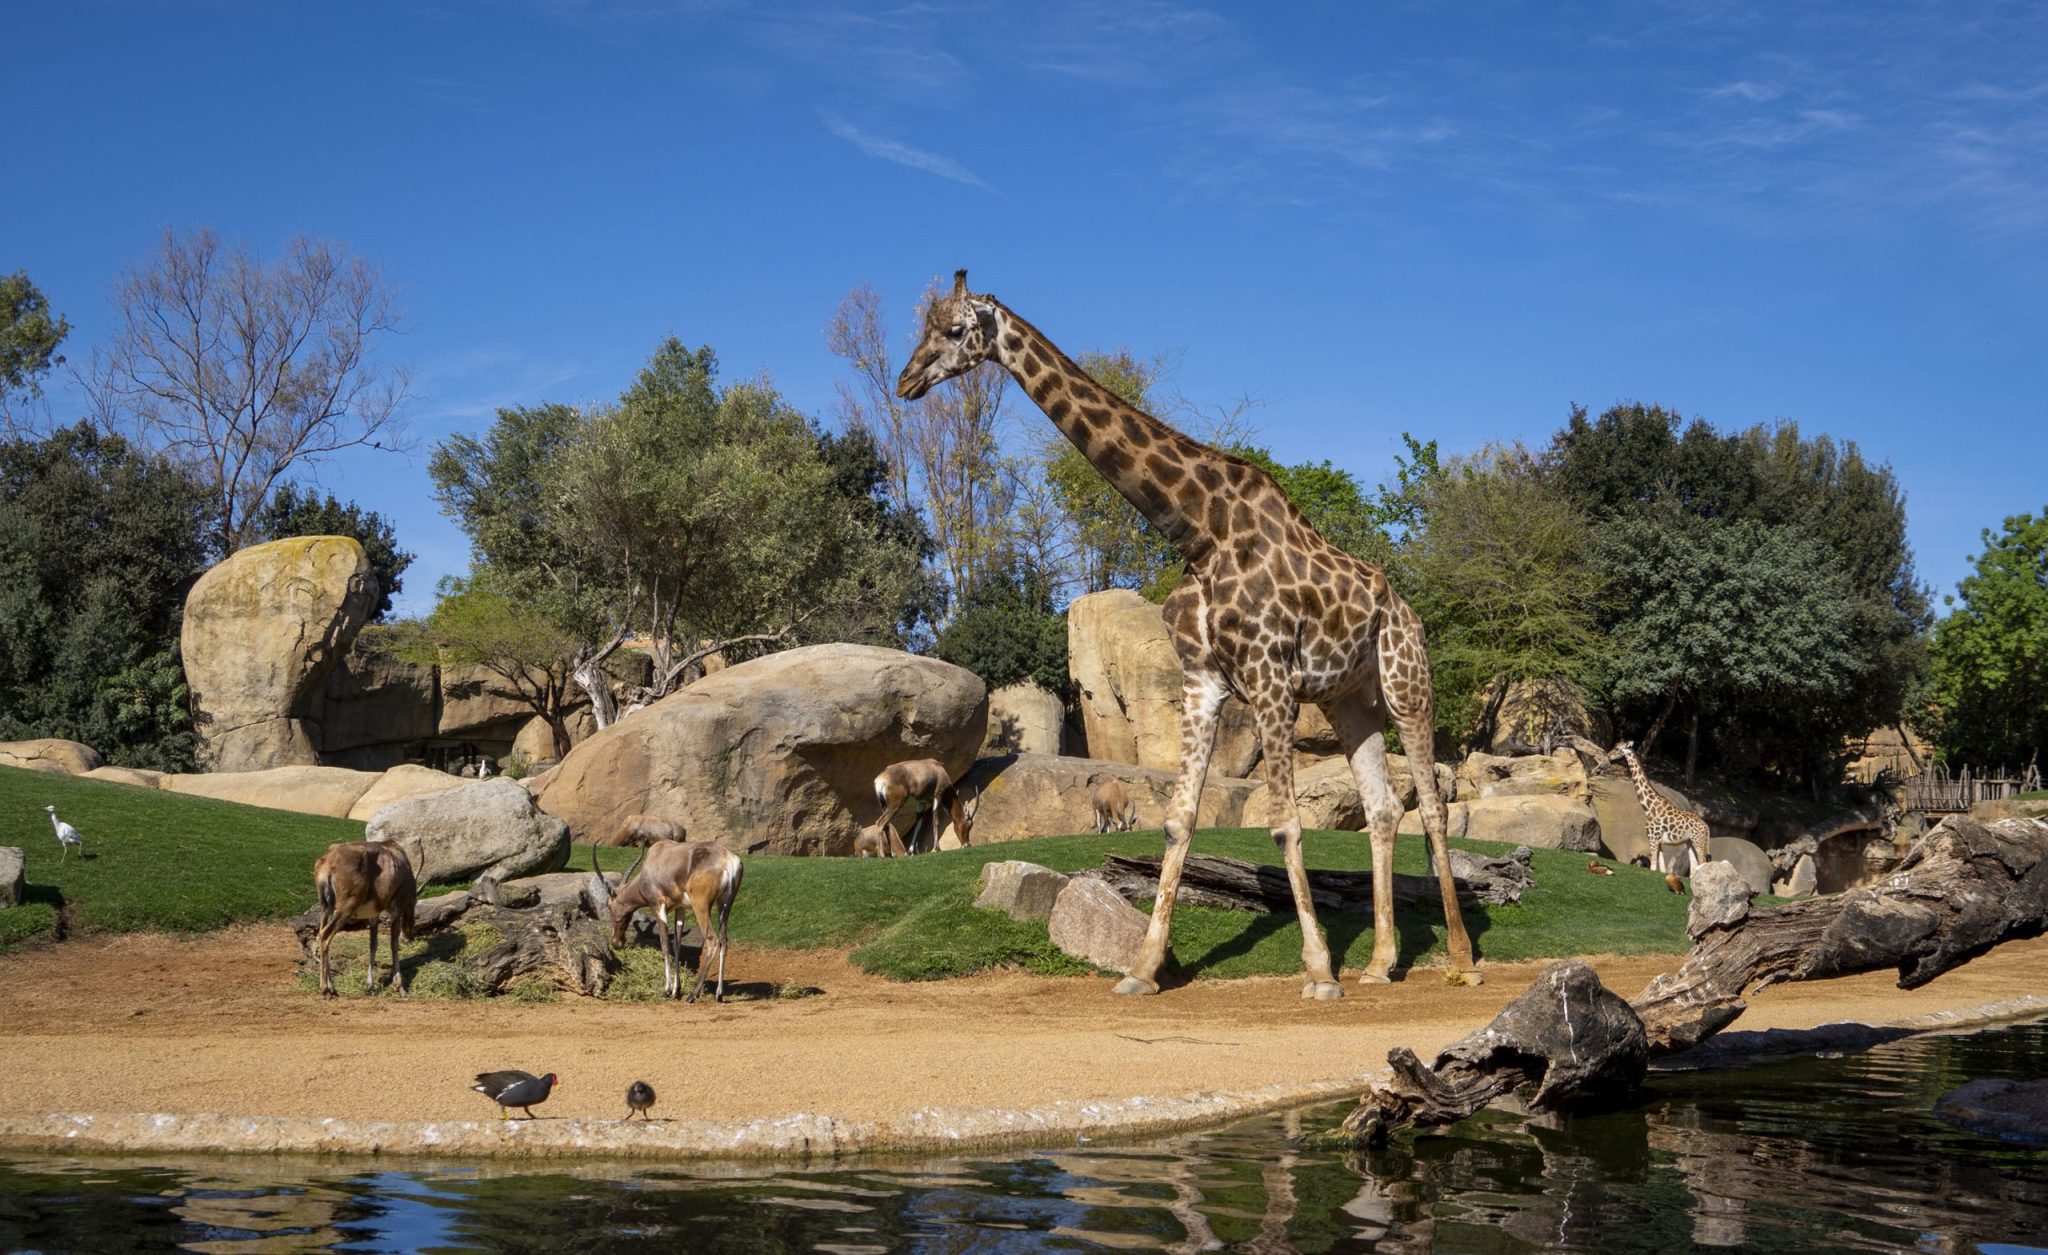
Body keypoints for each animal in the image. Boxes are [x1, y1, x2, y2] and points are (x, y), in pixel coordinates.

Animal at [309, 843, 417, 999]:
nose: (409, 938)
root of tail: (327, 861)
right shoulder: (396, 908)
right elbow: (393, 944)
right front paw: (400, 987)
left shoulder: (373, 915)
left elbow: (373, 944)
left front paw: (370, 986)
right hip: (346, 908)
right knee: (325, 935)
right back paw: (326, 990)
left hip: (326, 907)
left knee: (321, 934)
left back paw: (332, 989)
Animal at [593, 835, 745, 1003]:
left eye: (609, 905)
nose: (616, 943)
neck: (656, 858)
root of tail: (728, 859)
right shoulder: (681, 908)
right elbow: (676, 945)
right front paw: (676, 991)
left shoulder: (658, 906)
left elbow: (665, 944)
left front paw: (666, 990)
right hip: (724, 906)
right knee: (724, 940)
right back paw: (719, 994)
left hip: (701, 906)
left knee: (712, 939)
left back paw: (692, 995)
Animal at [897, 272, 1474, 999]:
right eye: (922, 326)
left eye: (952, 330)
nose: (906, 380)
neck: (1199, 530)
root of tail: (1407, 610)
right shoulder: (1203, 681)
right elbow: (1178, 821)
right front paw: (1143, 969)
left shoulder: (1270, 676)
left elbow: (1285, 823)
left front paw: (1318, 971)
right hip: (1350, 702)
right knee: (1383, 807)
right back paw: (1379, 963)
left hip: (1406, 682)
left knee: (1431, 805)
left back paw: (1460, 959)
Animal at [1597, 737, 1712, 876]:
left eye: (1617, 749)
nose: (1608, 755)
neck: (1648, 808)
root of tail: (1707, 827)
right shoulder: (1659, 841)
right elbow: (1661, 869)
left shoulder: (1653, 838)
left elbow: (1652, 867)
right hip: (1690, 842)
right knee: (1694, 867)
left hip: (1699, 842)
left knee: (1703, 862)